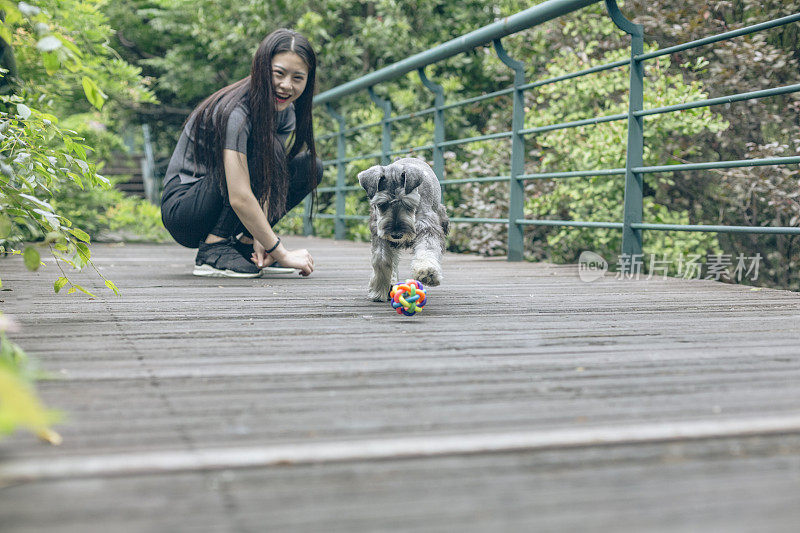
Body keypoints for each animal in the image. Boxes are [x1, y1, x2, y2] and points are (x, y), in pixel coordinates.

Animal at [358, 157, 446, 300]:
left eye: (407, 203)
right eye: (382, 204)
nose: (396, 234)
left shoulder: (427, 227)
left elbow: (427, 248)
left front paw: (427, 272)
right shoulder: (379, 232)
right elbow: (381, 260)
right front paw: (379, 289)